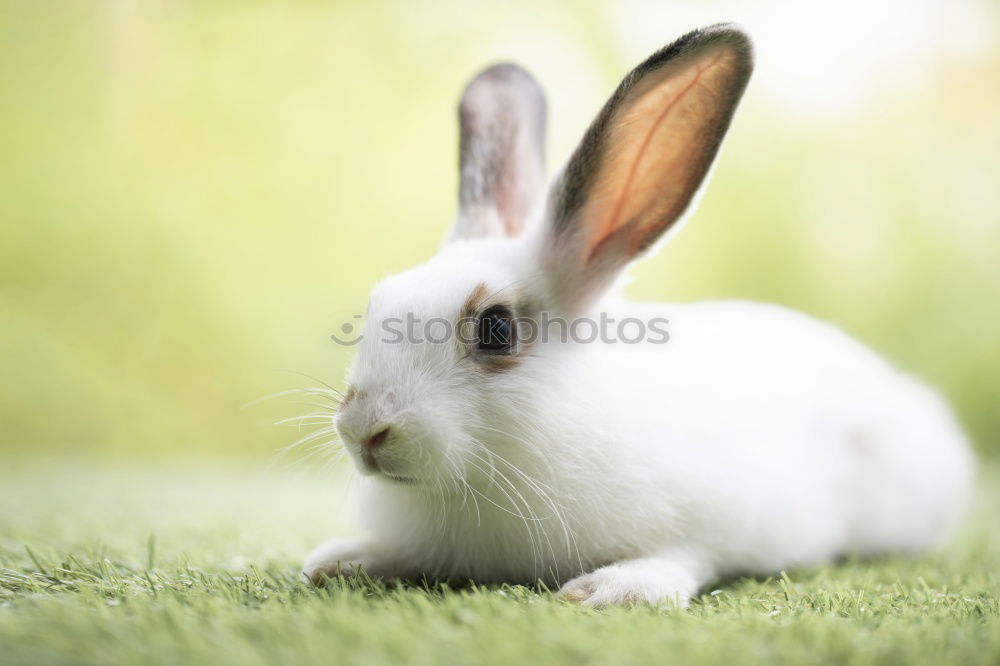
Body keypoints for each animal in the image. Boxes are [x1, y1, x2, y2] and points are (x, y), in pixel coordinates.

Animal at [302, 24, 968, 608]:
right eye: (377, 304)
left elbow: (683, 557)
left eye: (495, 329)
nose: (364, 430)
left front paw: (613, 589)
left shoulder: (718, 523)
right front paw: (342, 561)